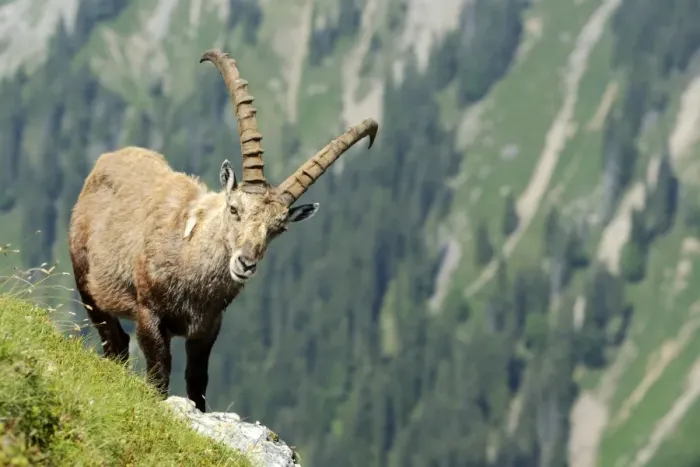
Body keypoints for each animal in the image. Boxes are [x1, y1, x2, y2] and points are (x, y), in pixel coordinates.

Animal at [67, 49, 378, 412]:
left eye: (278, 229)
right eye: (234, 209)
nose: (245, 263)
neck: (190, 260)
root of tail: (108, 160)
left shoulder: (208, 327)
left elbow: (197, 380)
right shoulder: (149, 313)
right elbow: (159, 372)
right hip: (88, 287)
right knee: (114, 341)